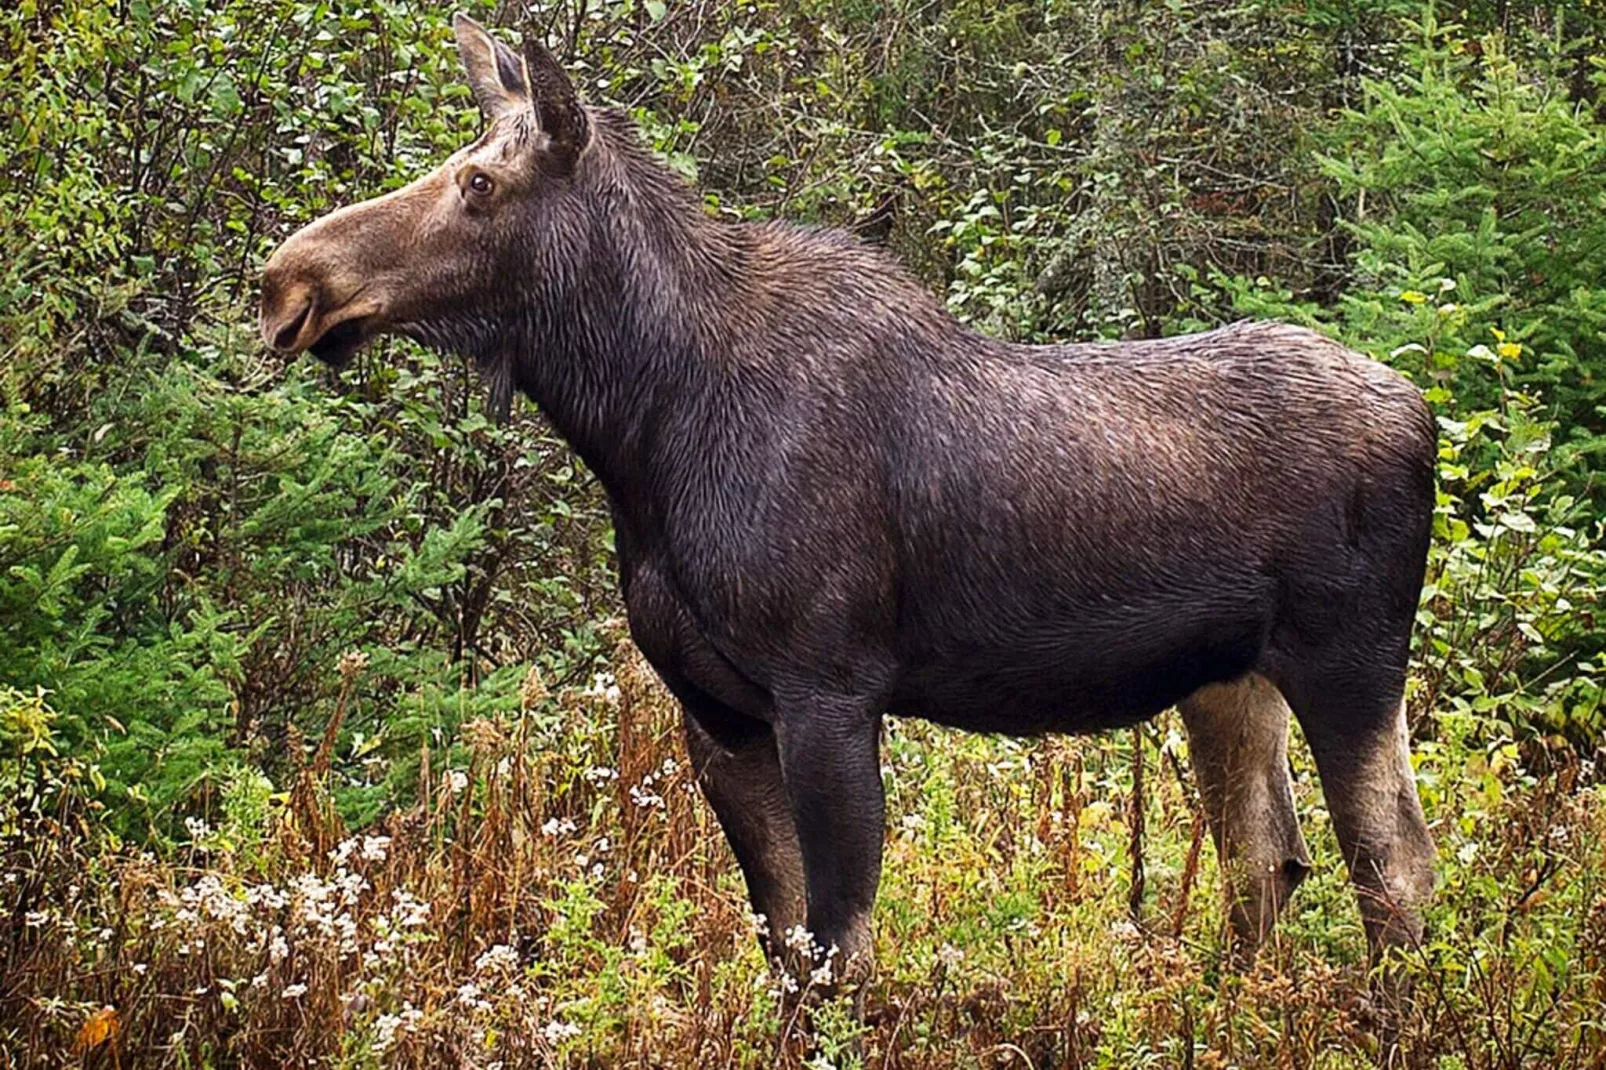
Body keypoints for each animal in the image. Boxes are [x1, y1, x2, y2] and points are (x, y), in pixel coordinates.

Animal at [256, 18, 1438, 1008]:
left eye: (479, 180)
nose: (286, 280)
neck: (642, 426)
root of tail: (1425, 410)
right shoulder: (716, 709)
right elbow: (783, 945)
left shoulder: (828, 686)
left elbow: (838, 951)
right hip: (1227, 679)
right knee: (1269, 857)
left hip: (1351, 660)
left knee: (1394, 865)